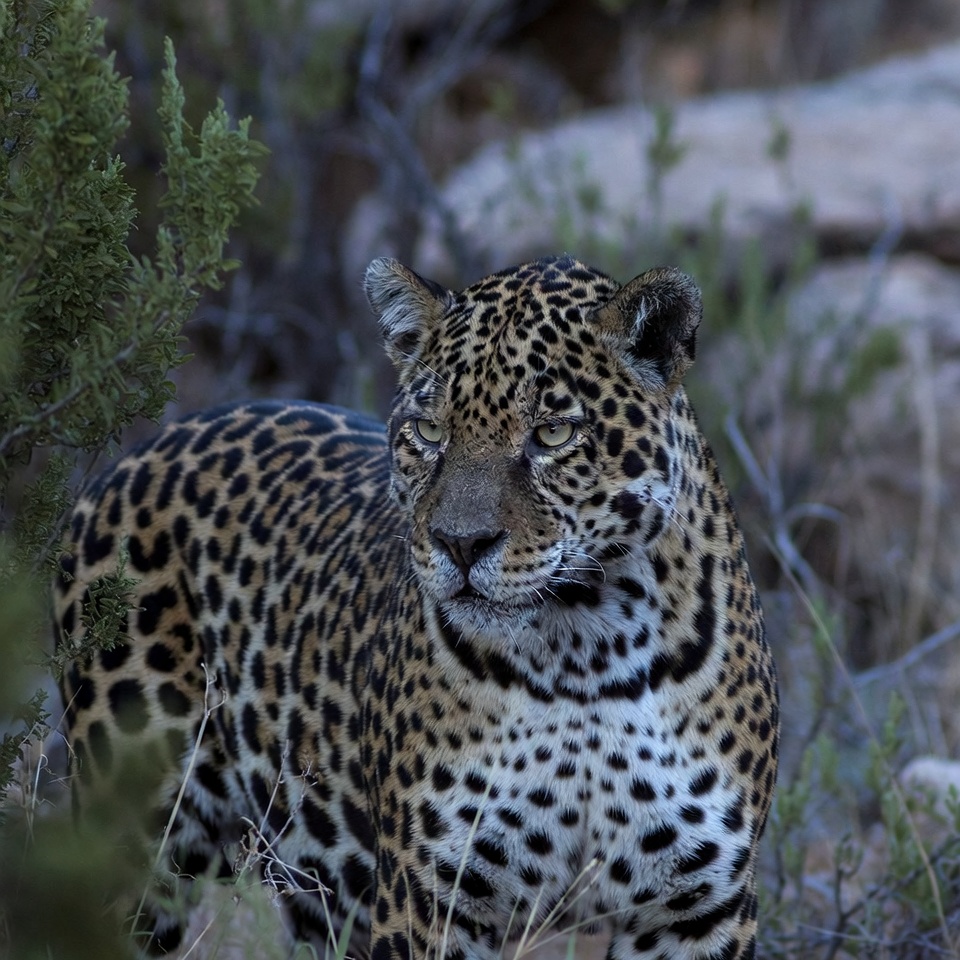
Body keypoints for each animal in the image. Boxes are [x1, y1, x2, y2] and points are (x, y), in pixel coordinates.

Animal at [56, 255, 779, 960]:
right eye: (430, 431)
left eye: (552, 434)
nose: (460, 544)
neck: (586, 650)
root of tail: (138, 451)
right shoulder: (432, 895)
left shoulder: (696, 907)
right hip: (139, 841)